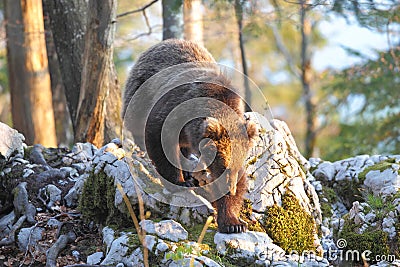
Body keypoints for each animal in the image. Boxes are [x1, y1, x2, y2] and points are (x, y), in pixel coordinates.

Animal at [122, 38, 256, 233]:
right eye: (223, 165)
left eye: (235, 167)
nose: (229, 188)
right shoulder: (173, 110)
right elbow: (159, 141)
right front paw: (179, 182)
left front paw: (234, 223)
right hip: (141, 93)